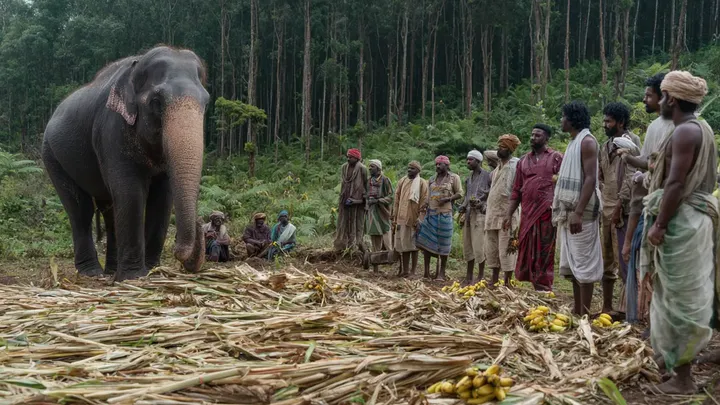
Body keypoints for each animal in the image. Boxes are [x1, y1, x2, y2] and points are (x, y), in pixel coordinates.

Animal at [42, 46, 210, 281]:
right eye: (156, 102)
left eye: (207, 102)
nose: (201, 222)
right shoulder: (111, 130)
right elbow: (130, 190)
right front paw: (134, 277)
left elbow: (163, 196)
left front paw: (152, 271)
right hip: (52, 155)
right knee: (80, 210)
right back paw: (91, 273)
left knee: (109, 209)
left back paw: (111, 270)